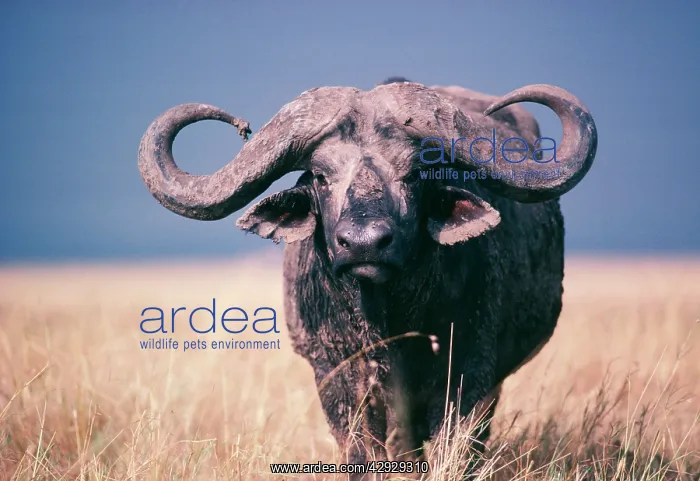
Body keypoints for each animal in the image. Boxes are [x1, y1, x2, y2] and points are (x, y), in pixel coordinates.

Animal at [138, 77, 597, 479]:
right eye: (321, 177)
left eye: (414, 173)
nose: (363, 244)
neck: (388, 322)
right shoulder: (335, 375)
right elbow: (363, 452)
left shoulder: (469, 367)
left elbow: (453, 444)